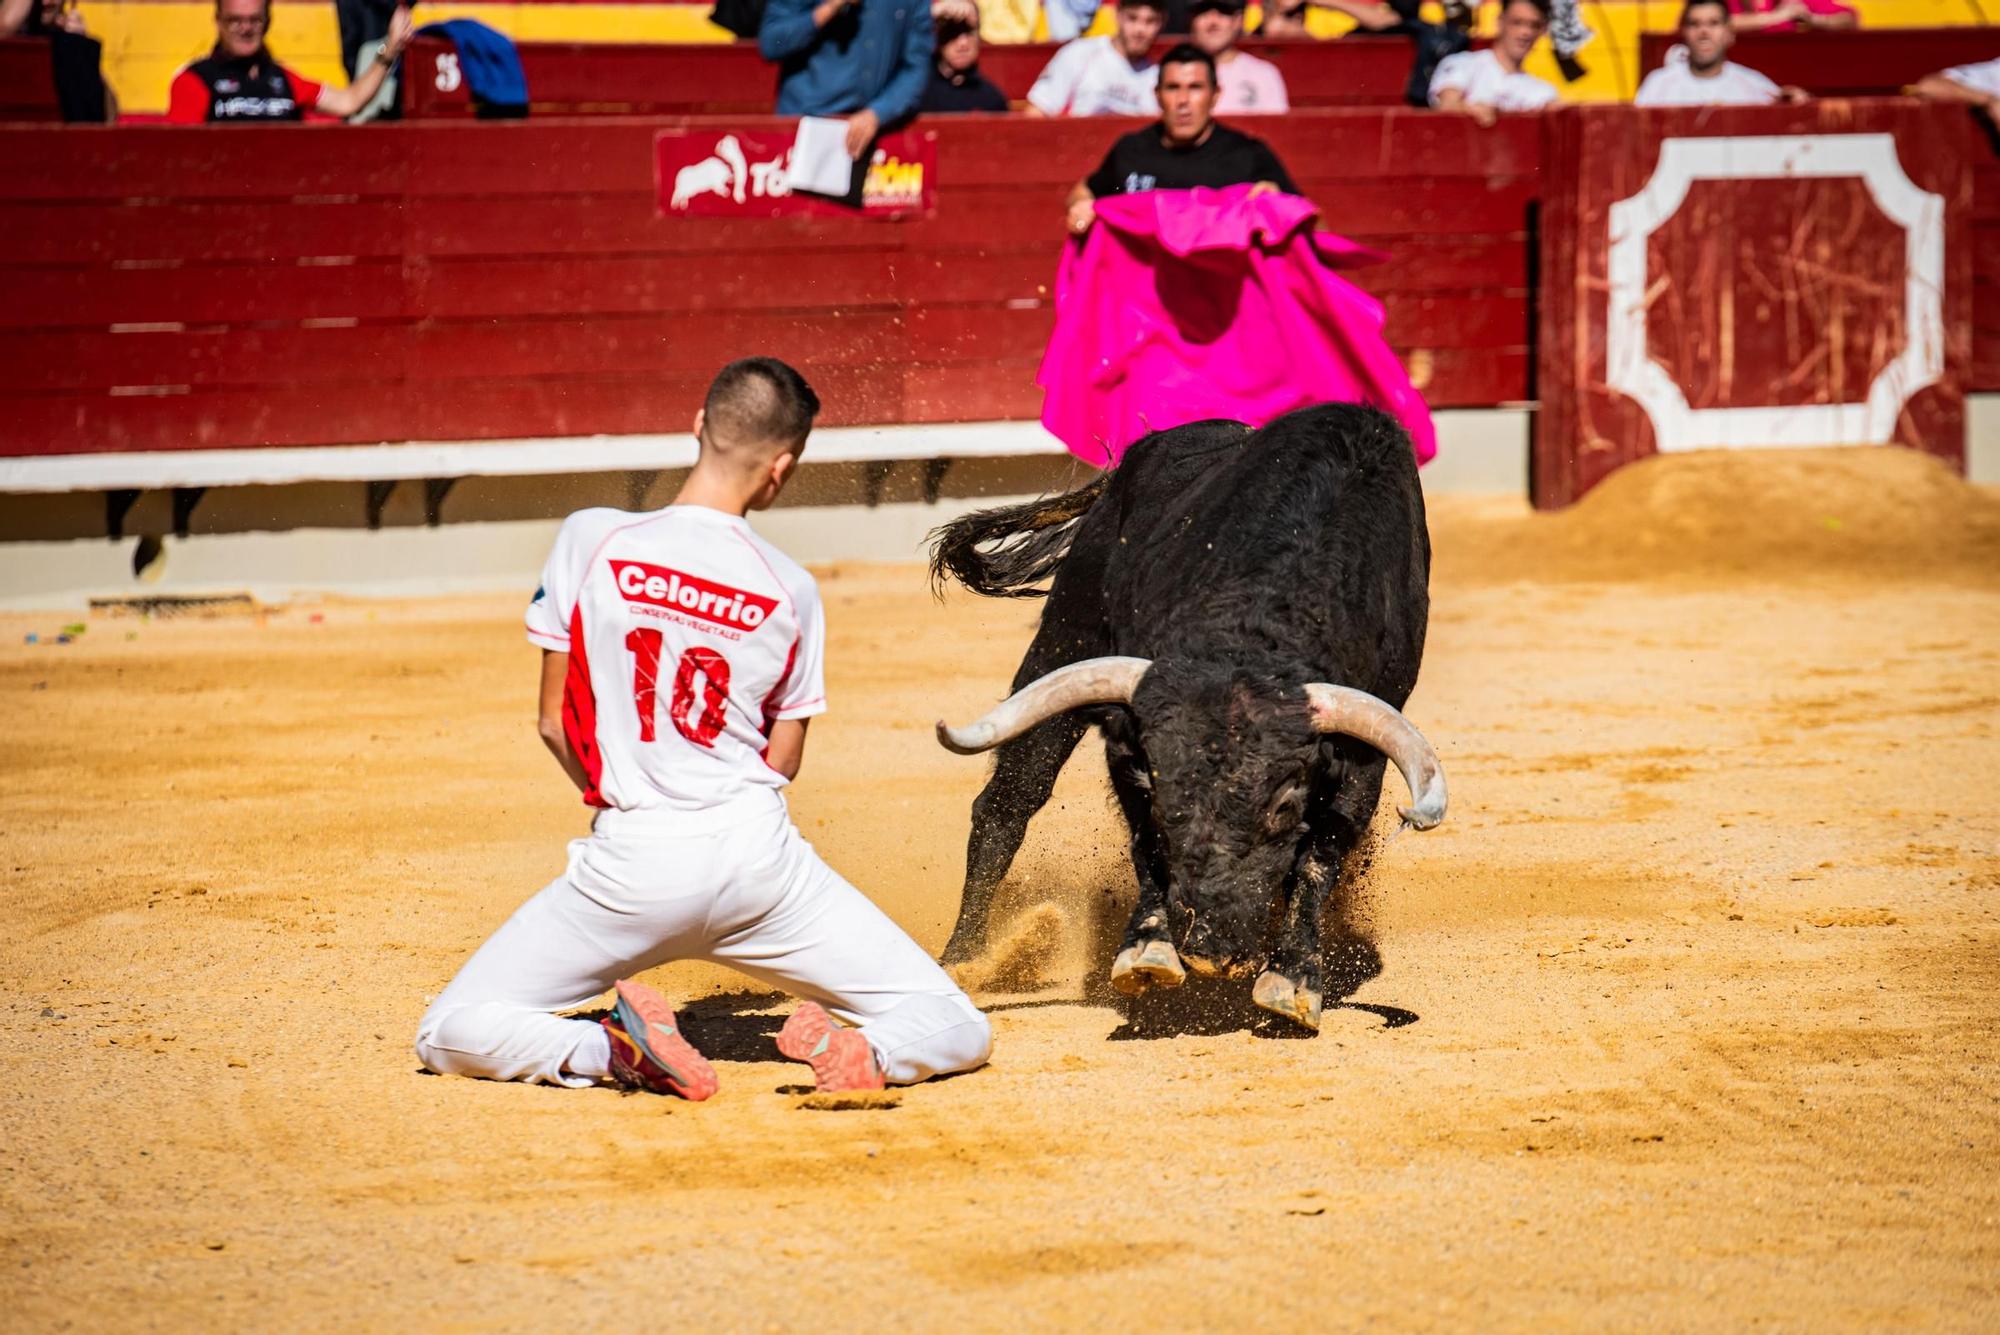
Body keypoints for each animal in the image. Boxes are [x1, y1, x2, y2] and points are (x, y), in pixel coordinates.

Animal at [928, 407, 1448, 1031]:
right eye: (1163, 792)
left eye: (1284, 806)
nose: (1210, 950)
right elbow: (1146, 845)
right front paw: (1147, 951)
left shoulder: (1362, 755)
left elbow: (1319, 858)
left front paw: (1293, 978)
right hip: (1065, 637)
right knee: (1007, 804)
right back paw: (963, 961)